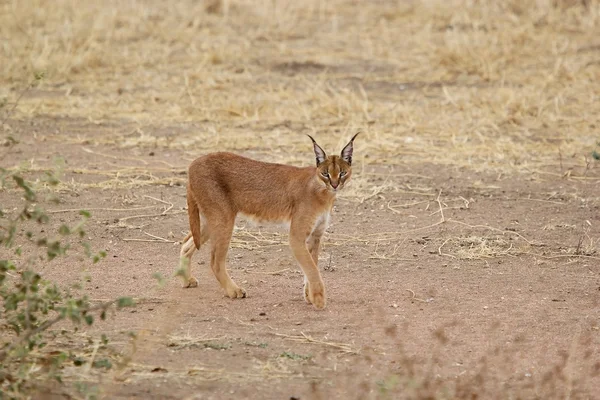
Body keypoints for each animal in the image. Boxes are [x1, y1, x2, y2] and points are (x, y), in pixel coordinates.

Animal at [177, 134, 356, 310]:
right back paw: (234, 290)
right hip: (223, 218)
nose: (335, 184)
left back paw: (186, 279)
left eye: (342, 173)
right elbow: (312, 269)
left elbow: (312, 265)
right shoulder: (297, 236)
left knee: (186, 242)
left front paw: (309, 296)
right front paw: (319, 300)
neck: (324, 192)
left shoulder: (315, 235)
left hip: (213, 218)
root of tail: (193, 163)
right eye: (326, 173)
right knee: (215, 260)